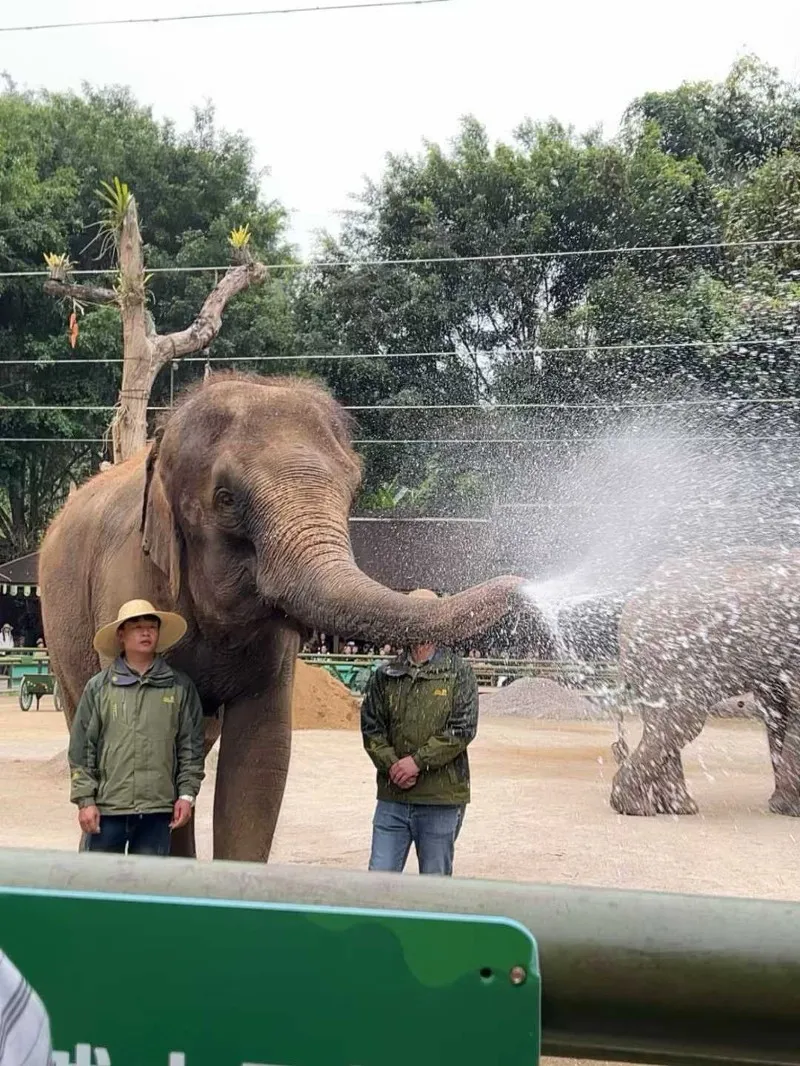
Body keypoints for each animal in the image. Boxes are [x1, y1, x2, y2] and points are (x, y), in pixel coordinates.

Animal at [610, 547, 800, 817]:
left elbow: (777, 709)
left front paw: (782, 807)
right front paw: (791, 811)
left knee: (662, 723)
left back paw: (677, 808)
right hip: (671, 657)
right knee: (681, 721)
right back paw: (637, 808)